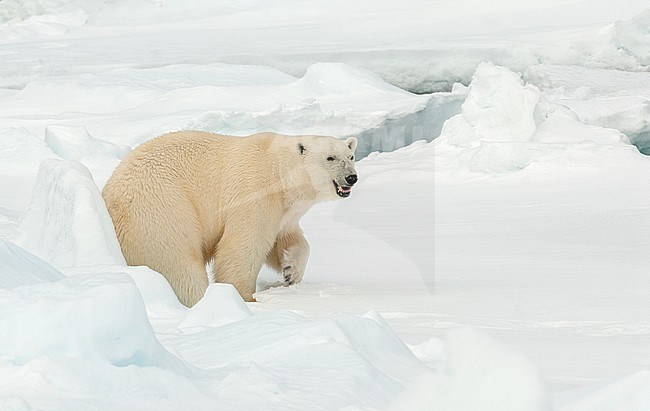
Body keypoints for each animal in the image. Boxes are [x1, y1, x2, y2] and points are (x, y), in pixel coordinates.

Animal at [102, 131, 356, 306]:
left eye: (351, 155)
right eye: (330, 157)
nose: (351, 177)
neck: (280, 172)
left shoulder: (285, 210)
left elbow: (287, 239)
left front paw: (291, 271)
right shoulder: (254, 194)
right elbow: (243, 247)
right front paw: (245, 297)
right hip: (161, 212)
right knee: (178, 266)